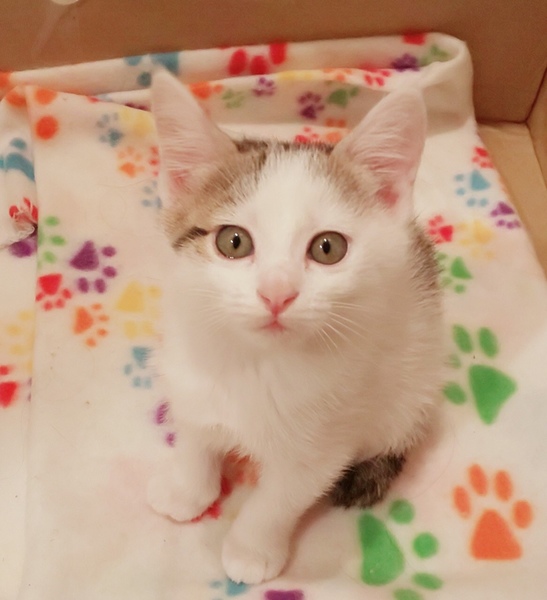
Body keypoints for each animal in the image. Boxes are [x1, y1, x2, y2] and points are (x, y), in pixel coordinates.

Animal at [148, 71, 443, 585]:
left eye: (328, 247)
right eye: (233, 241)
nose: (277, 294)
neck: (254, 364)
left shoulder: (322, 445)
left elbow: (278, 499)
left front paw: (250, 550)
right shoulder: (188, 376)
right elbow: (195, 434)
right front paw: (187, 489)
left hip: (412, 390)